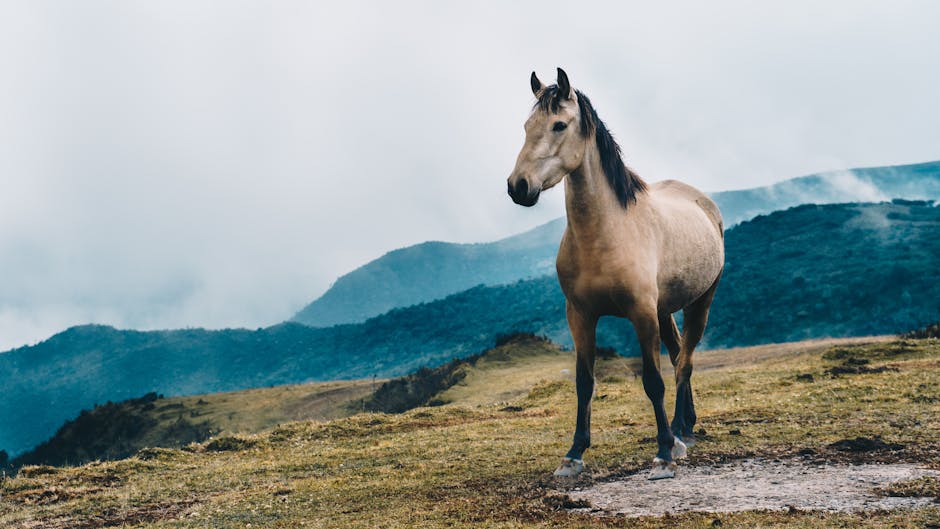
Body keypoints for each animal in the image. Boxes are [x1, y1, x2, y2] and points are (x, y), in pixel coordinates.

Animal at [510, 68, 724, 480]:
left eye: (559, 125)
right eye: (527, 126)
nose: (518, 187)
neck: (606, 234)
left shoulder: (641, 313)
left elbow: (653, 381)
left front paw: (663, 453)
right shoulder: (580, 315)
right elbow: (584, 382)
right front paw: (574, 454)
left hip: (700, 303)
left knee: (684, 362)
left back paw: (677, 434)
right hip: (665, 310)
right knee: (678, 355)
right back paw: (685, 427)